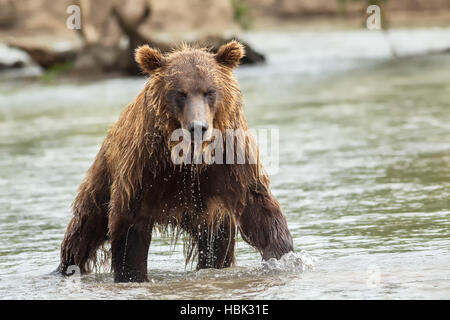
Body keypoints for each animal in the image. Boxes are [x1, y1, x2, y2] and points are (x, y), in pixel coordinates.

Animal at [56, 40, 294, 282]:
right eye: (180, 93)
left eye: (210, 91)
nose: (198, 127)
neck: (191, 158)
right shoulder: (146, 167)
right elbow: (130, 223)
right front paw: (132, 275)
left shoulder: (231, 160)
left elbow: (258, 206)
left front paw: (283, 257)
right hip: (105, 175)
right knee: (86, 225)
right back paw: (67, 265)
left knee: (218, 245)